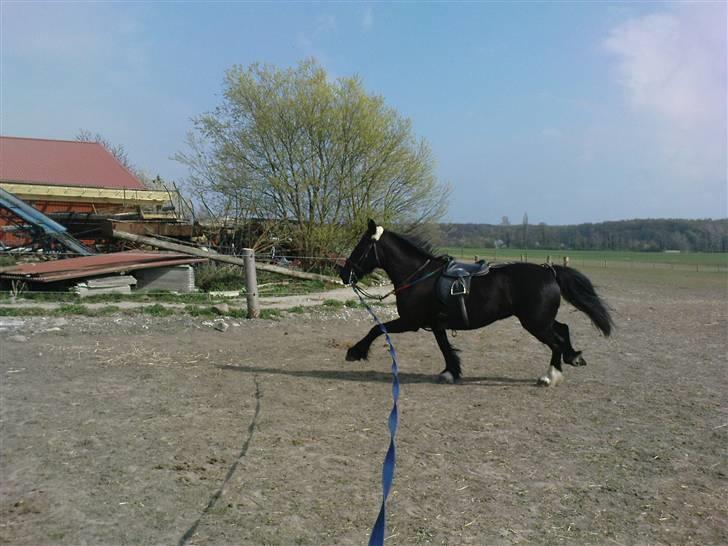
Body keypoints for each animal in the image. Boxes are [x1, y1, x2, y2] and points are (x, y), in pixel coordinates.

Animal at [339, 220, 614, 386]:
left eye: (360, 247)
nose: (344, 274)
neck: (418, 275)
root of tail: (549, 271)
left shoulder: (410, 321)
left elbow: (377, 328)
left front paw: (355, 352)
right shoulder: (435, 324)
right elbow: (445, 348)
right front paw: (451, 372)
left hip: (535, 323)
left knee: (555, 342)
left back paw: (550, 376)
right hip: (541, 319)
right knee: (563, 329)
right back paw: (574, 357)